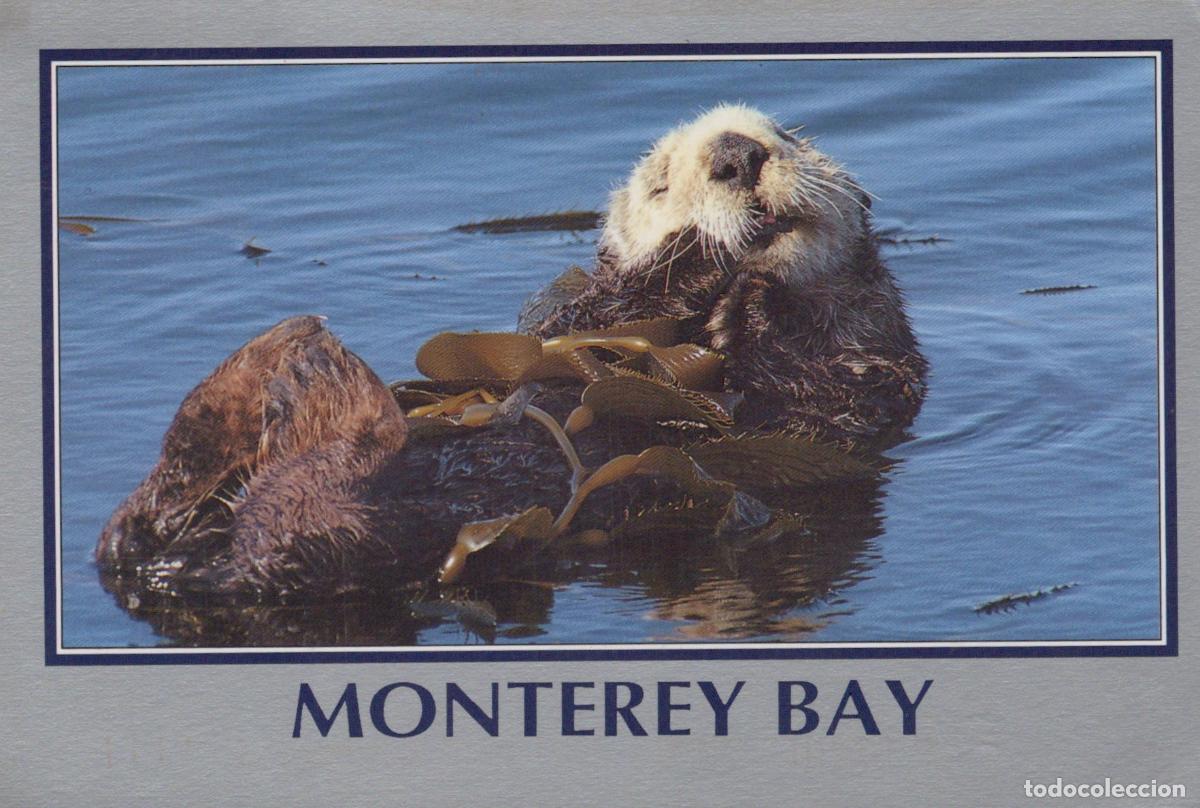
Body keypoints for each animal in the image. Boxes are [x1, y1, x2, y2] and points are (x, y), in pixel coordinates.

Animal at [96, 105, 925, 606]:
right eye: (662, 183)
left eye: (784, 136)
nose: (735, 156)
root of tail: (186, 569)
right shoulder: (565, 311)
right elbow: (599, 313)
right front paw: (696, 256)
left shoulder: (877, 360)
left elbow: (836, 382)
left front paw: (751, 302)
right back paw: (293, 361)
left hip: (336, 543)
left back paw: (313, 376)